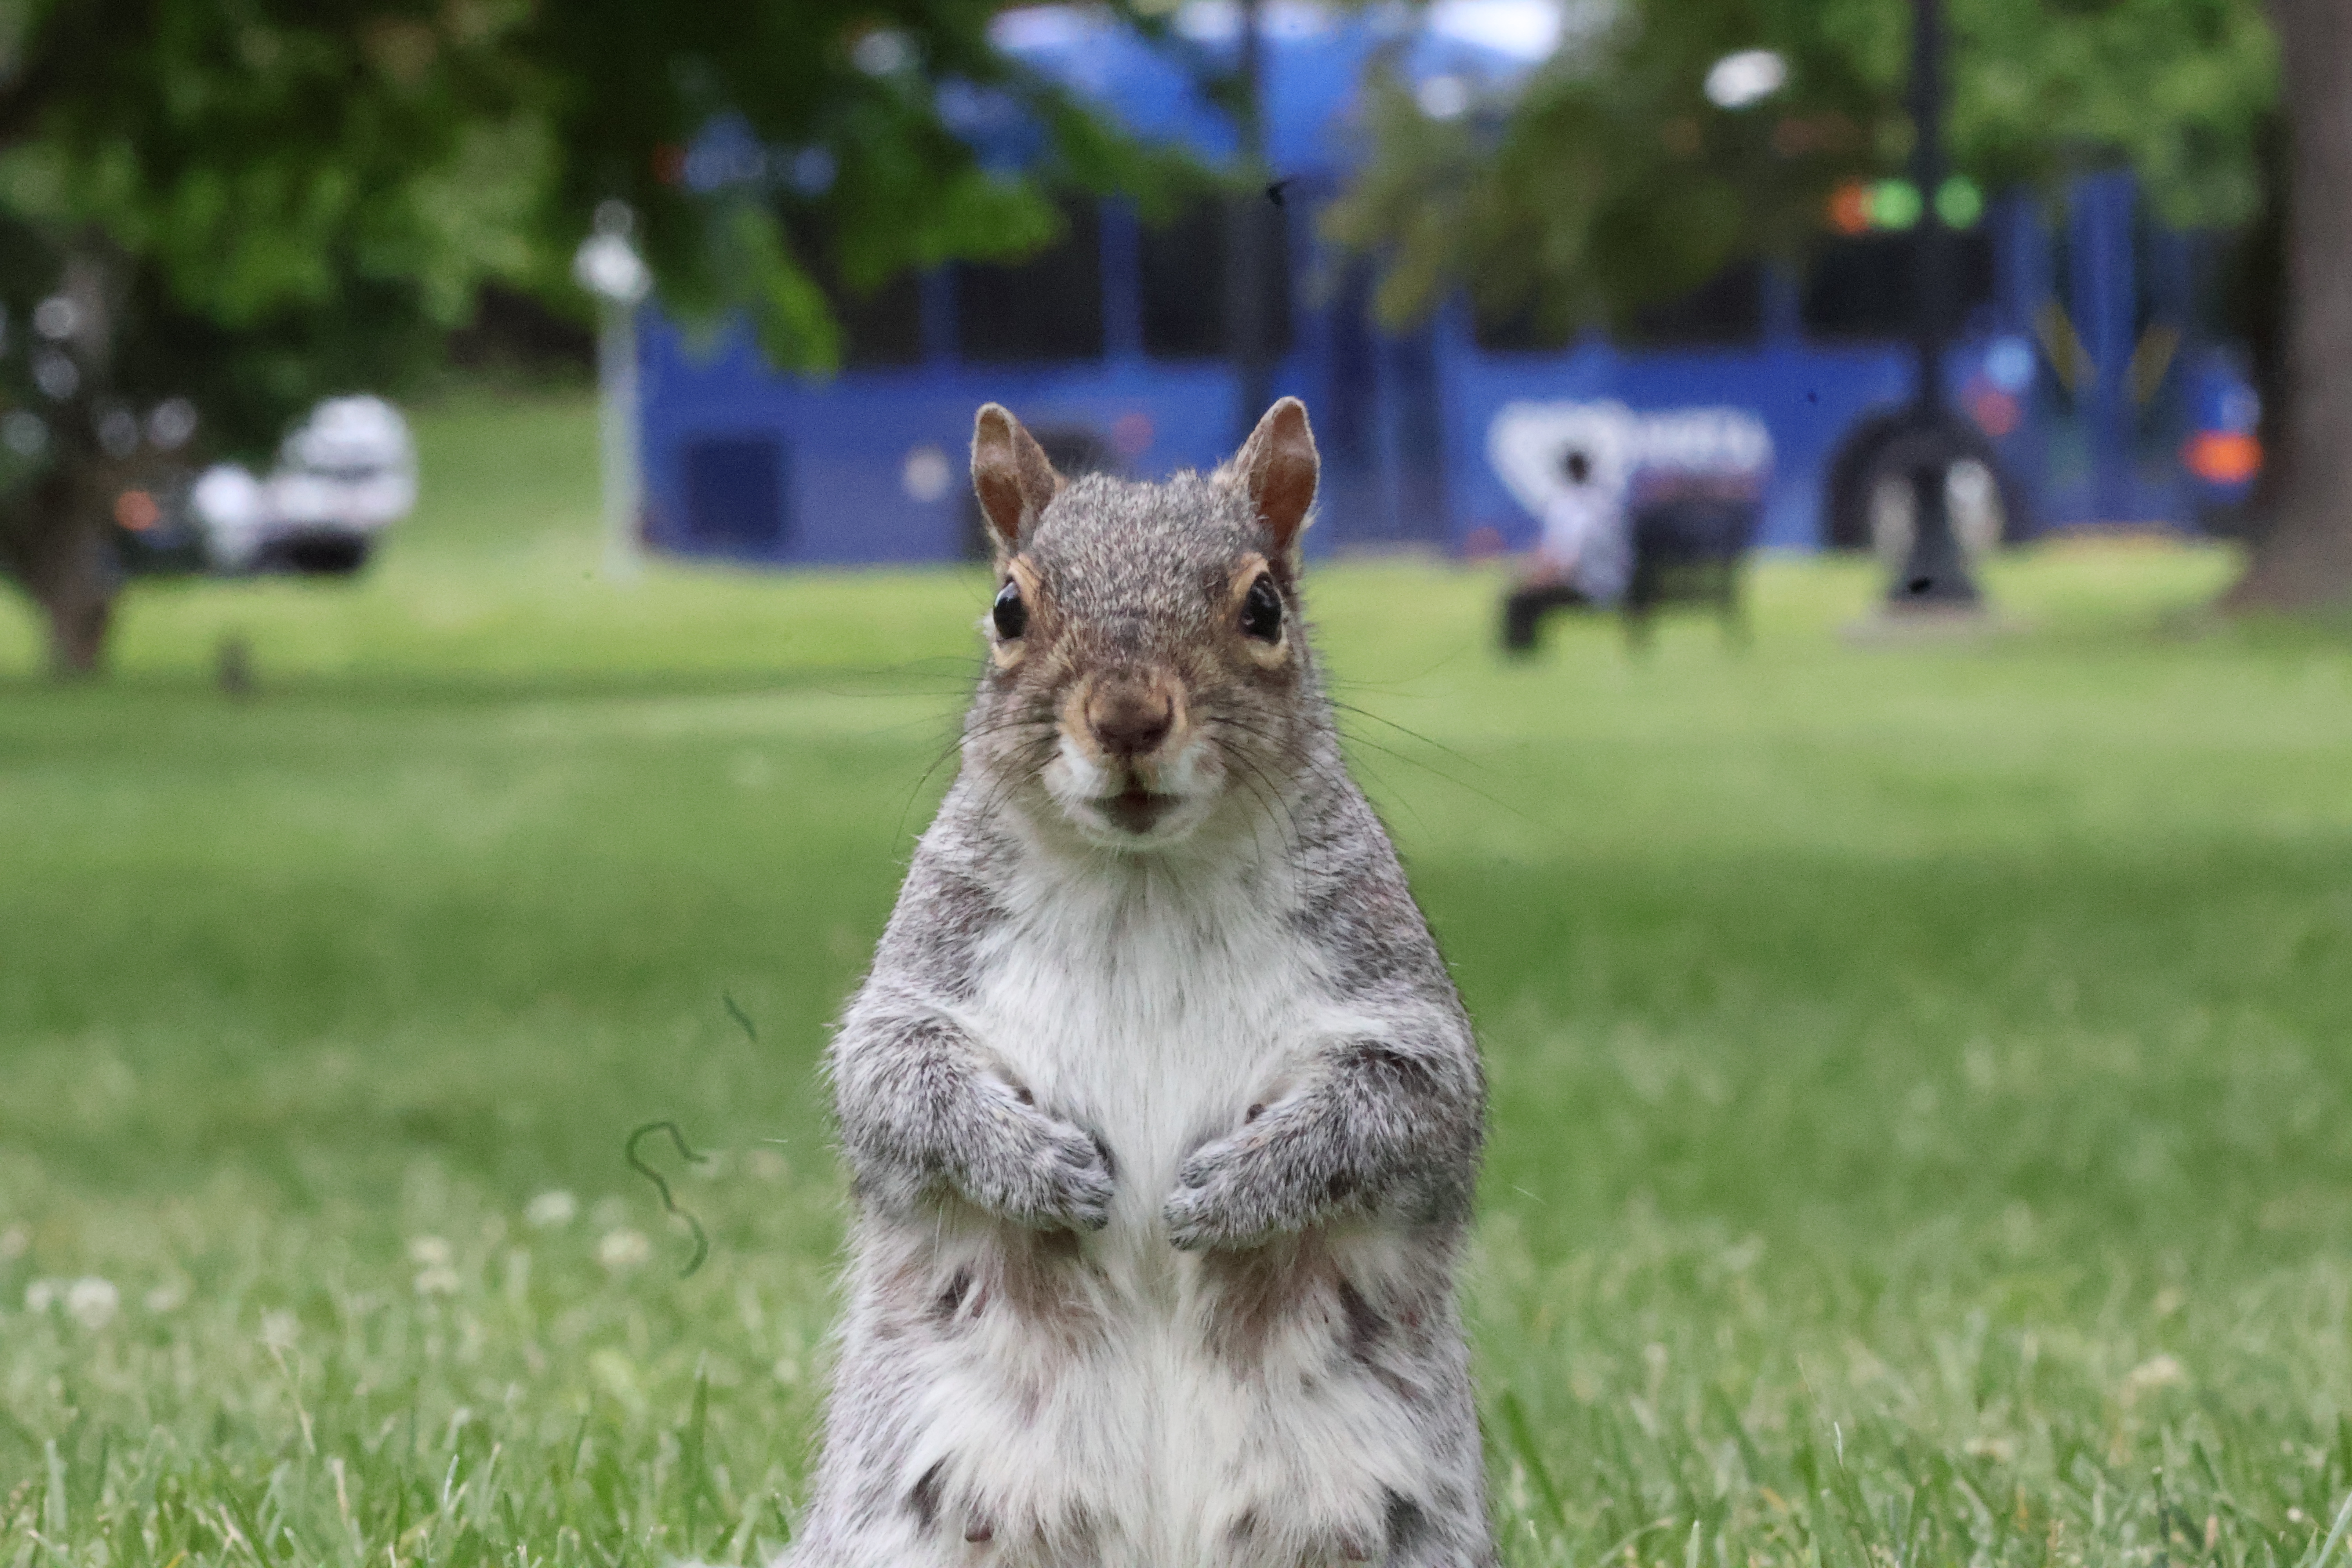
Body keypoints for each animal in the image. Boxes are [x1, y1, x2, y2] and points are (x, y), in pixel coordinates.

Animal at [783, 399, 1493, 1568]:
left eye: (1263, 607)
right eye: (1008, 607)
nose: (1125, 717)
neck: (1144, 880)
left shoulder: (1396, 1001)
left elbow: (1409, 1110)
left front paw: (1237, 1186)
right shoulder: (926, 980)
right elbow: (893, 1089)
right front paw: (1040, 1166)